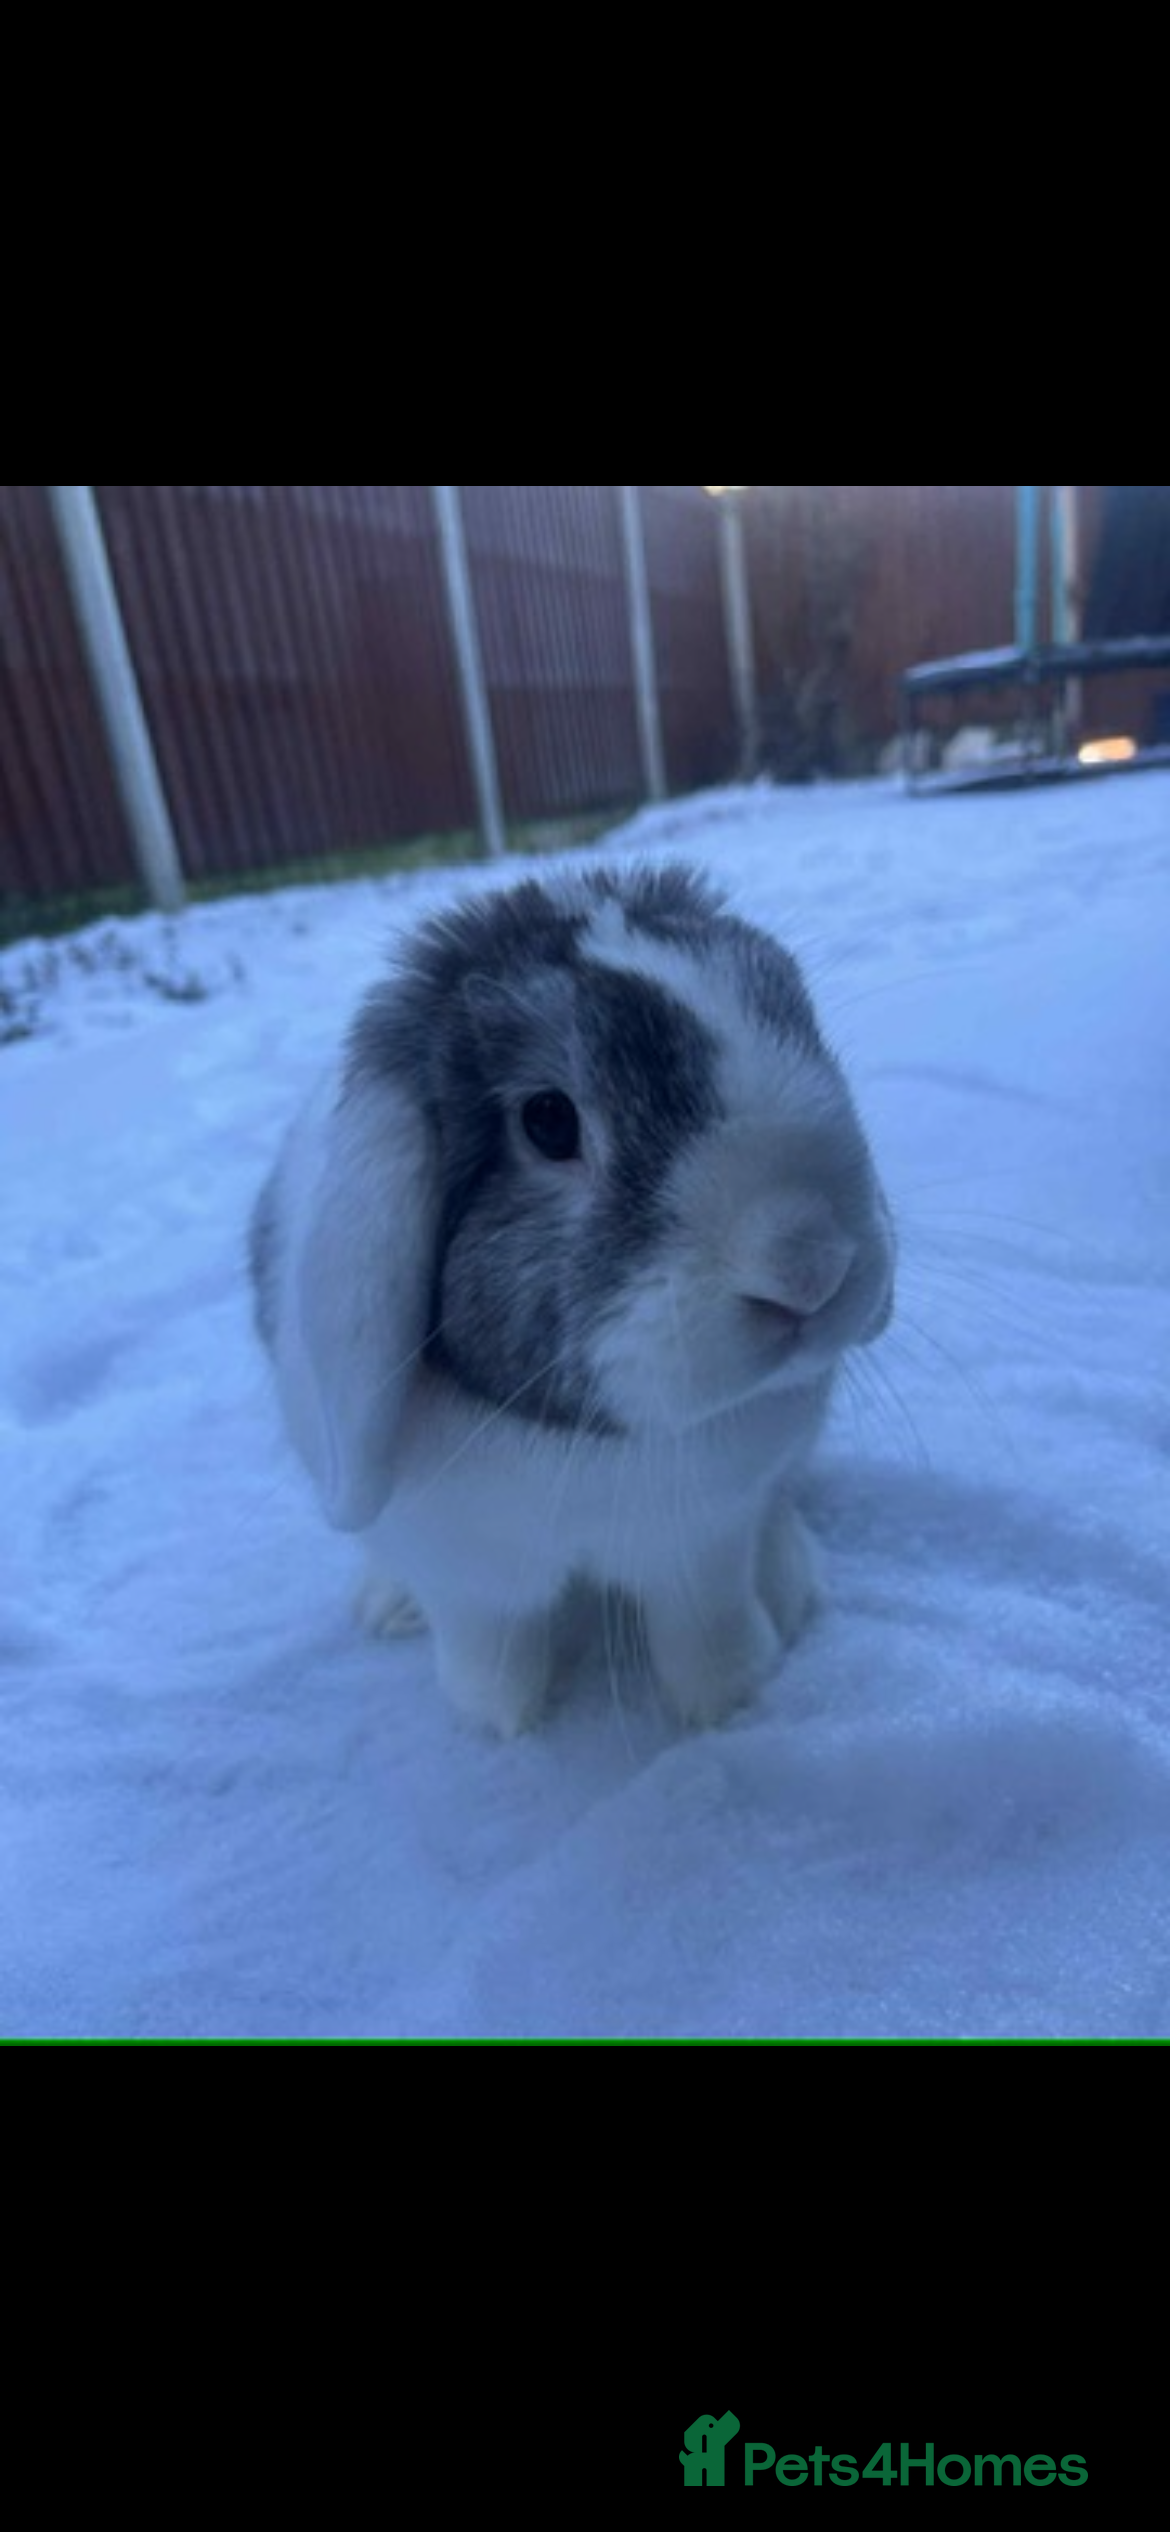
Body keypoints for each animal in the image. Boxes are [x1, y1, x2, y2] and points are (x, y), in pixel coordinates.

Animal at [249, 860, 894, 1736]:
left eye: (796, 1020)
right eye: (549, 1121)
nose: (810, 1268)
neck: (589, 1453)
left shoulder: (705, 1541)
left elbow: (706, 1627)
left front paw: (728, 1706)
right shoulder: (464, 1573)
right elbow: (492, 1653)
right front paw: (502, 1726)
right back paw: (386, 1609)